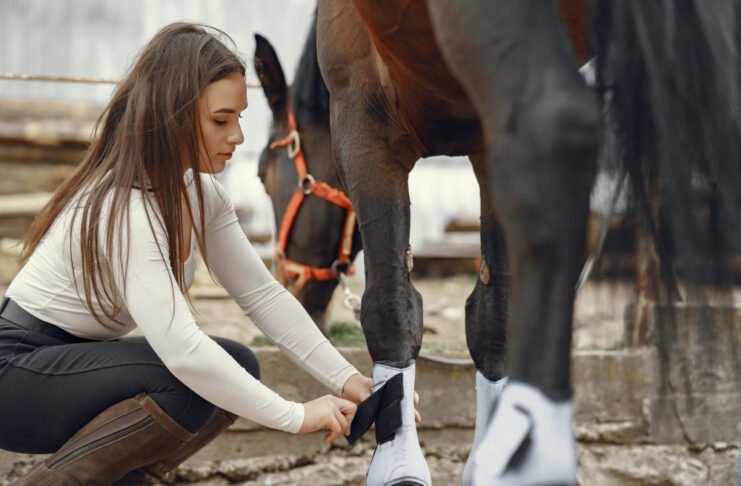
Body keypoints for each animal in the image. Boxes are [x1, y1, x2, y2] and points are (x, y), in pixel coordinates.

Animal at [256, 2, 741, 485]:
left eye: (262, 173)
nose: (289, 284)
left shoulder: (361, 114)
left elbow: (390, 306)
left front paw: (401, 466)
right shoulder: (487, 141)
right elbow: (495, 316)